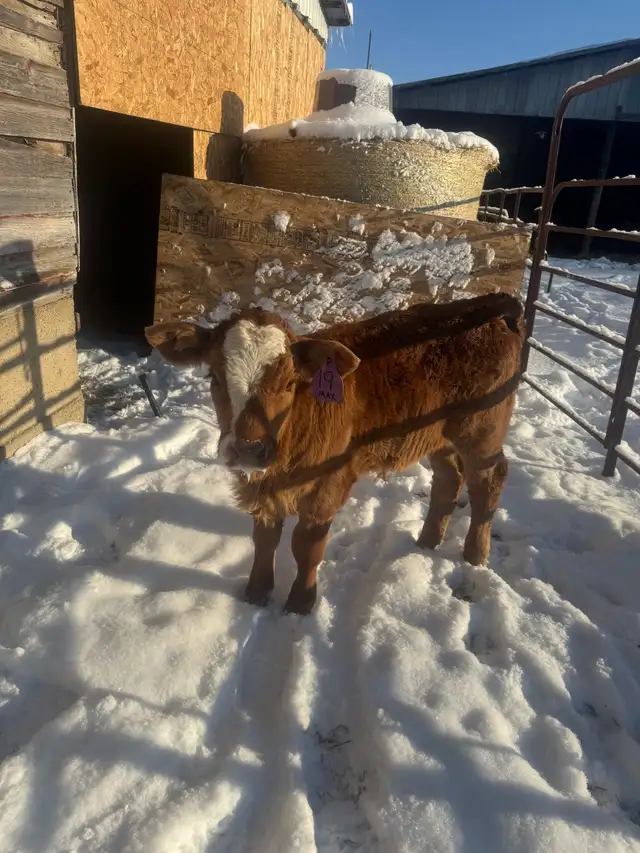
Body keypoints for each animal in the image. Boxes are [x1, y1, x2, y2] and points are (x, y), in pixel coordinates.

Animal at [146, 292, 523, 615]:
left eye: (289, 383)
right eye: (213, 377)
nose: (248, 450)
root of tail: (492, 304)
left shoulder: (328, 484)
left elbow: (307, 547)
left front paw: (300, 603)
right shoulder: (264, 488)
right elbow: (264, 539)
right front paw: (256, 593)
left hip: (481, 433)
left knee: (489, 481)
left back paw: (474, 556)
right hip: (437, 436)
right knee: (449, 479)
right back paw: (428, 541)